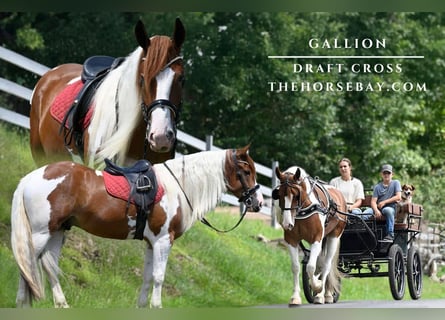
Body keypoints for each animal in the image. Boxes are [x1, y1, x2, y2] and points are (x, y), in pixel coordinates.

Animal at [10, 146, 262, 308]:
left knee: (49, 268)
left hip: (57, 232)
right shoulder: (163, 241)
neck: (177, 187)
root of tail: (31, 178)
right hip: (41, 234)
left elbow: (148, 278)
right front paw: (157, 307)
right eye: (246, 172)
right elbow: (159, 277)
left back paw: (61, 305)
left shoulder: (152, 243)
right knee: (27, 266)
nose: (258, 202)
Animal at [270, 168, 346, 304]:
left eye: (296, 195)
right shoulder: (291, 240)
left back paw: (321, 295)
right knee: (321, 264)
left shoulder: (316, 239)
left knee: (327, 265)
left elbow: (310, 267)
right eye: (279, 195)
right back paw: (327, 294)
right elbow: (296, 267)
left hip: (334, 237)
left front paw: (317, 286)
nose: (287, 224)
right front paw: (295, 297)